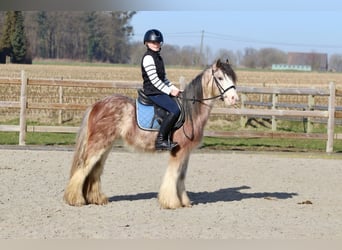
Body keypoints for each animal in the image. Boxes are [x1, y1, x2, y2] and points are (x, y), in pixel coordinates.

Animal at [62, 59, 238, 209]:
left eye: (232, 78)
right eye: (220, 78)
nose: (234, 99)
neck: (190, 112)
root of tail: (96, 105)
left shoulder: (186, 152)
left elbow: (181, 176)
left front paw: (184, 202)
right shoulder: (178, 151)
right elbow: (173, 176)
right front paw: (171, 202)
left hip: (105, 146)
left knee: (95, 170)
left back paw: (97, 199)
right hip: (98, 145)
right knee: (83, 167)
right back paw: (75, 199)